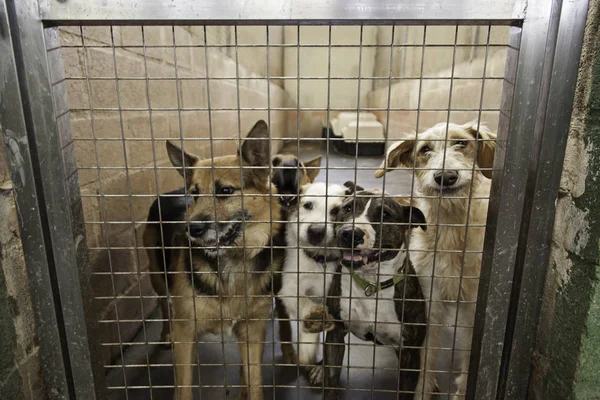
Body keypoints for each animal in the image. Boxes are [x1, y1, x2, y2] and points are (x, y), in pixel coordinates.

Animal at [278, 181, 350, 384]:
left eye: (336, 210)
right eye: (308, 205)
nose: (316, 231)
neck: (319, 261)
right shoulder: (289, 287)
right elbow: (304, 302)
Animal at [322, 185, 428, 400]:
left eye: (385, 215)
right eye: (347, 208)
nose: (350, 233)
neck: (370, 284)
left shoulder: (410, 353)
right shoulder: (335, 335)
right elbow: (331, 380)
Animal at [376, 122, 496, 400]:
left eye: (461, 143)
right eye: (425, 150)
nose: (446, 177)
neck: (453, 228)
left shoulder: (474, 310)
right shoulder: (427, 304)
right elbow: (425, 358)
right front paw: (422, 390)